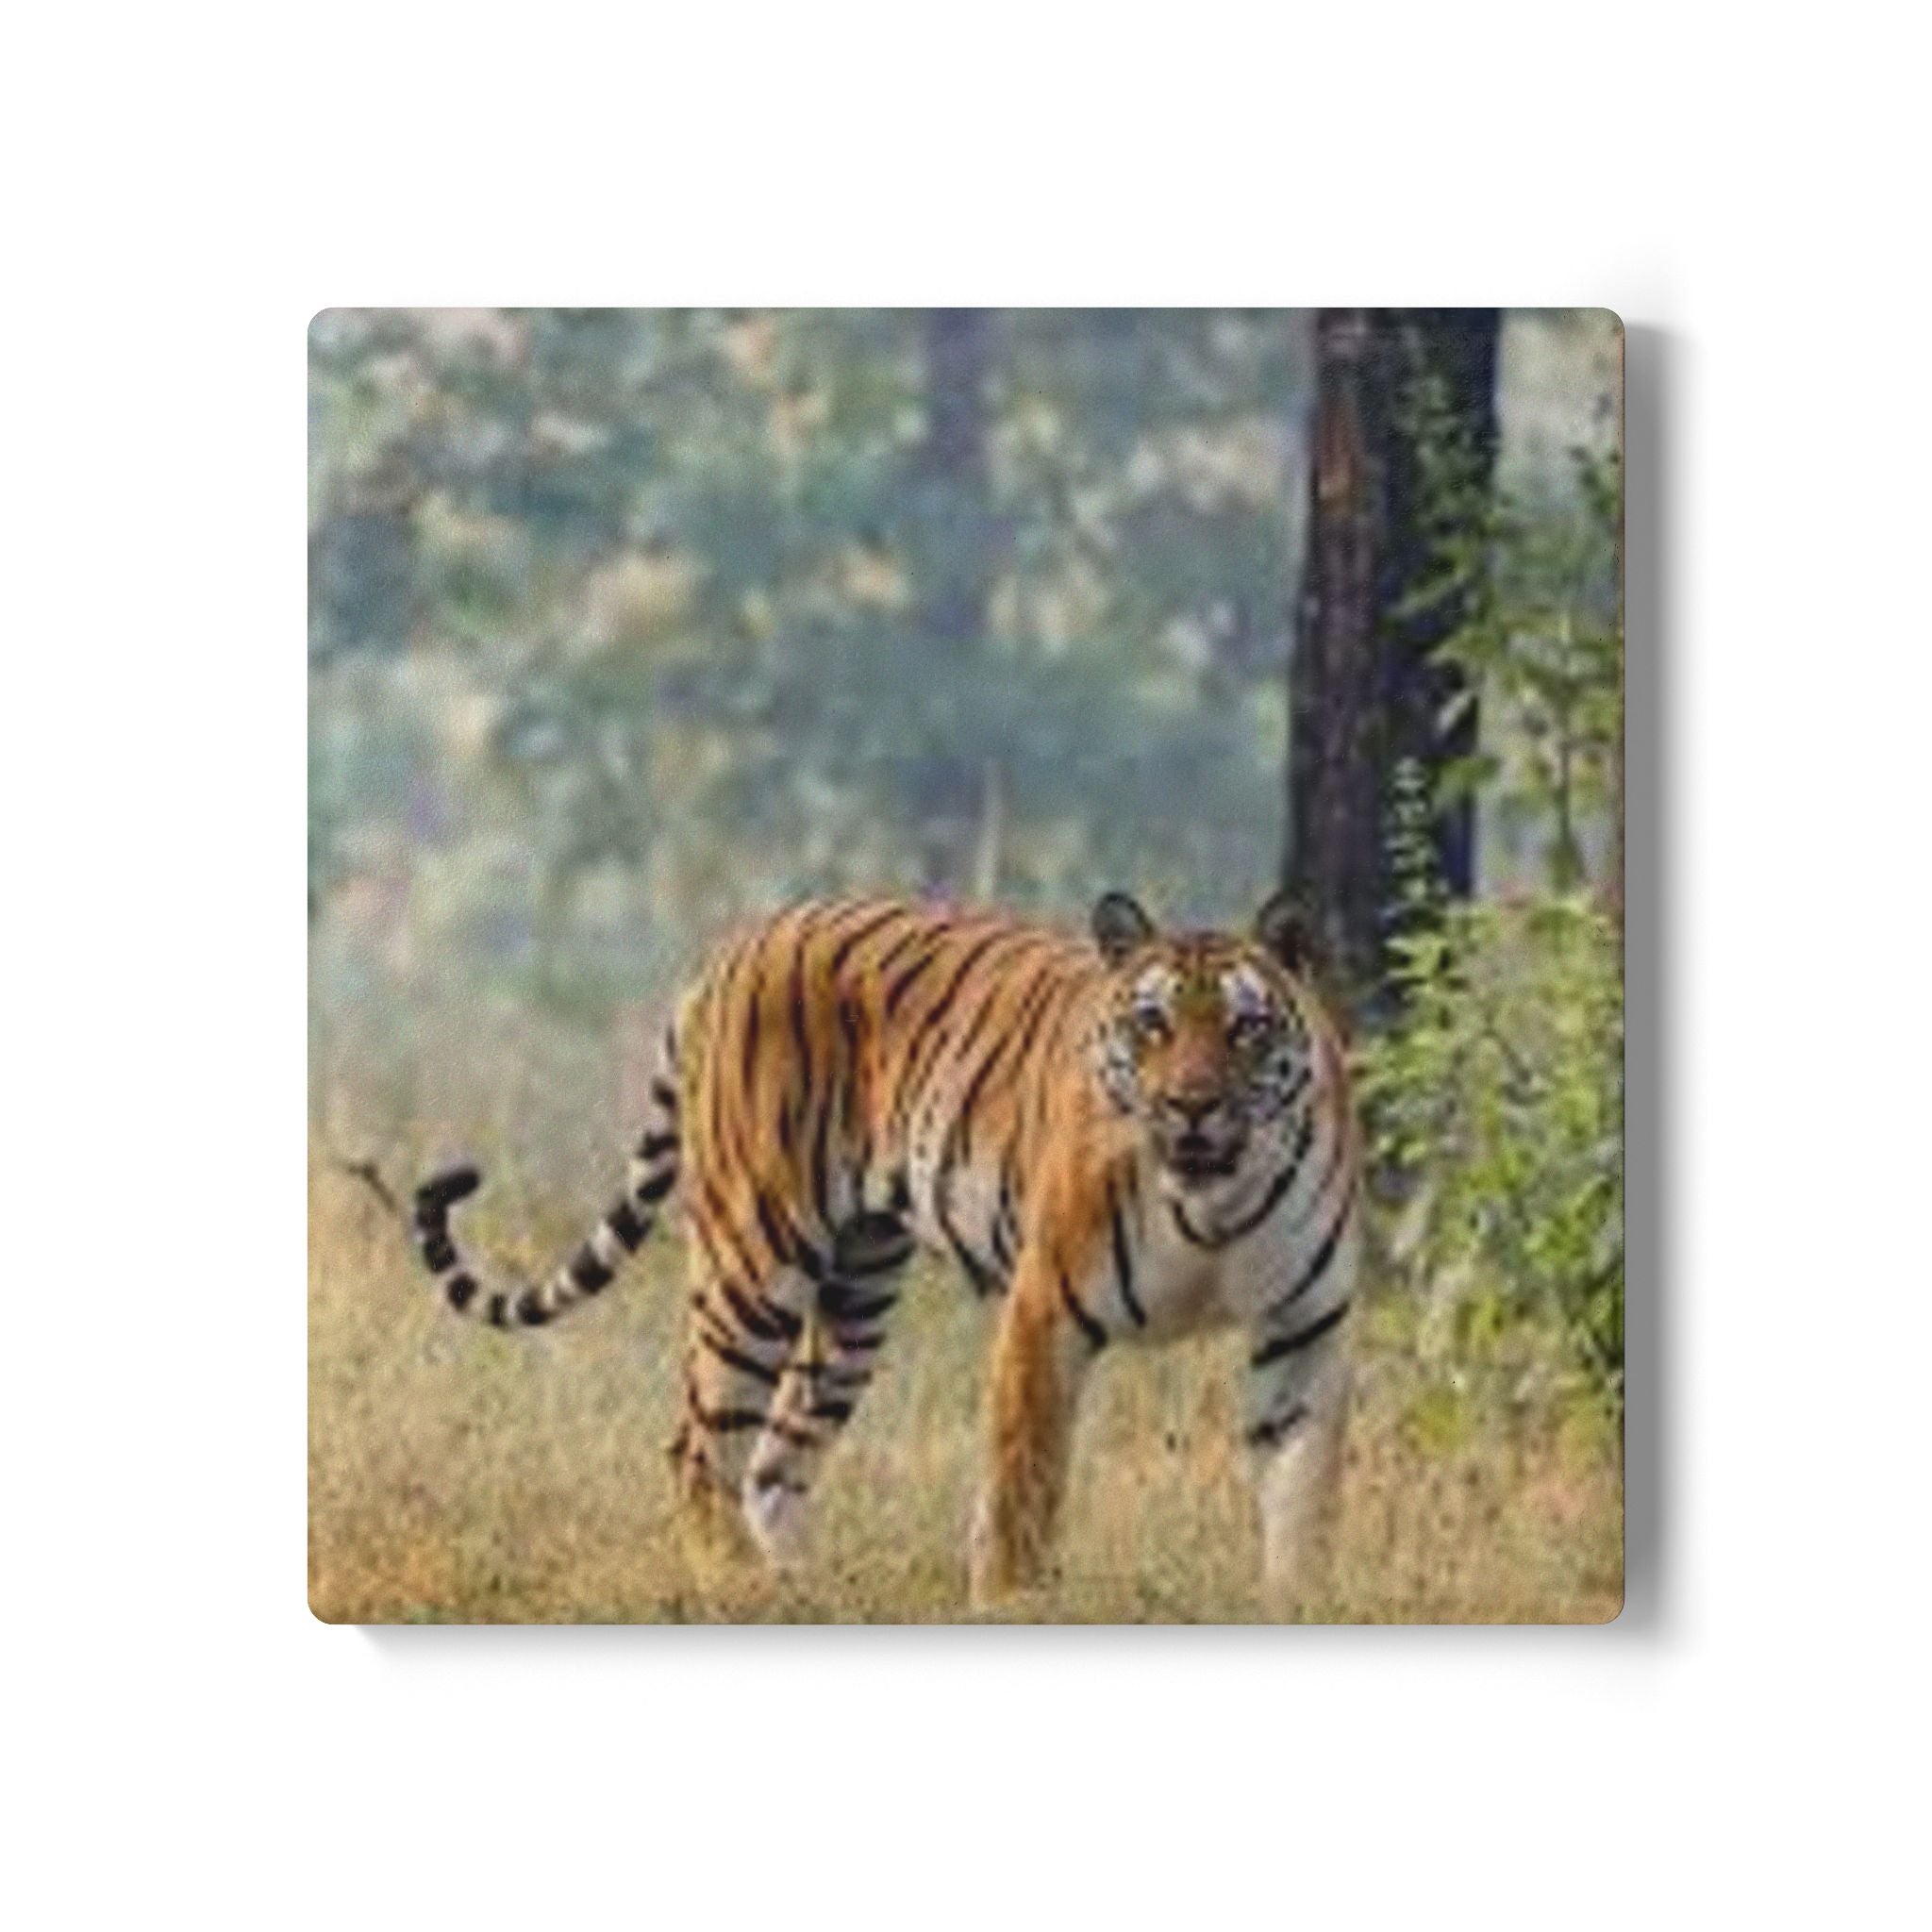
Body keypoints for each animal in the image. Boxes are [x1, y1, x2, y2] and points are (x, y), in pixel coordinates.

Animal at [411, 889, 1361, 1606]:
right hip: (755, 1256)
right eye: (1152, 1025)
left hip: (856, 1292)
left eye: (1244, 1029)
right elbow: (1023, 1485)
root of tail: (738, 941)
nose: (1192, 1106)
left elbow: (1303, 1494)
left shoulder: (1304, 1328)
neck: (1212, 1204)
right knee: (699, 1445)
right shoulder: (1047, 1310)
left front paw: (1298, 1604)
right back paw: (739, 1586)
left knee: (774, 1459)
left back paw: (803, 1588)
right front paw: (1014, 1605)